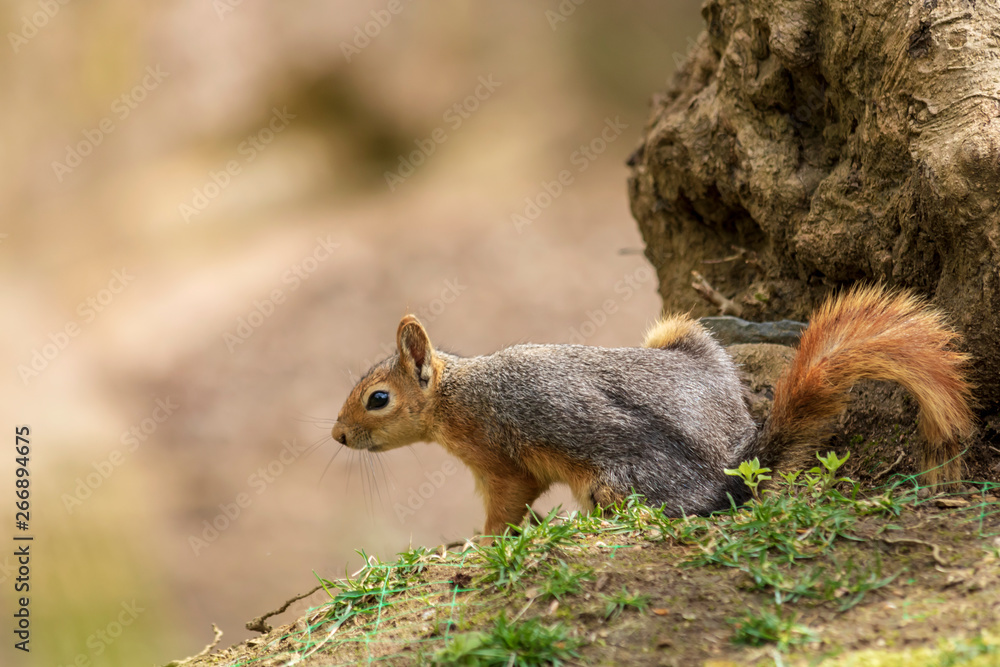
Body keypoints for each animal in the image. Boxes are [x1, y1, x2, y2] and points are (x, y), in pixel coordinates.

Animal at [331, 285, 974, 539]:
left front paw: (481, 541)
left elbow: (507, 508)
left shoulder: (500, 460)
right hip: (678, 338)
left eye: (377, 399)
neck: (457, 395)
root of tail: (732, 469)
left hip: (615, 484)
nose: (336, 435)